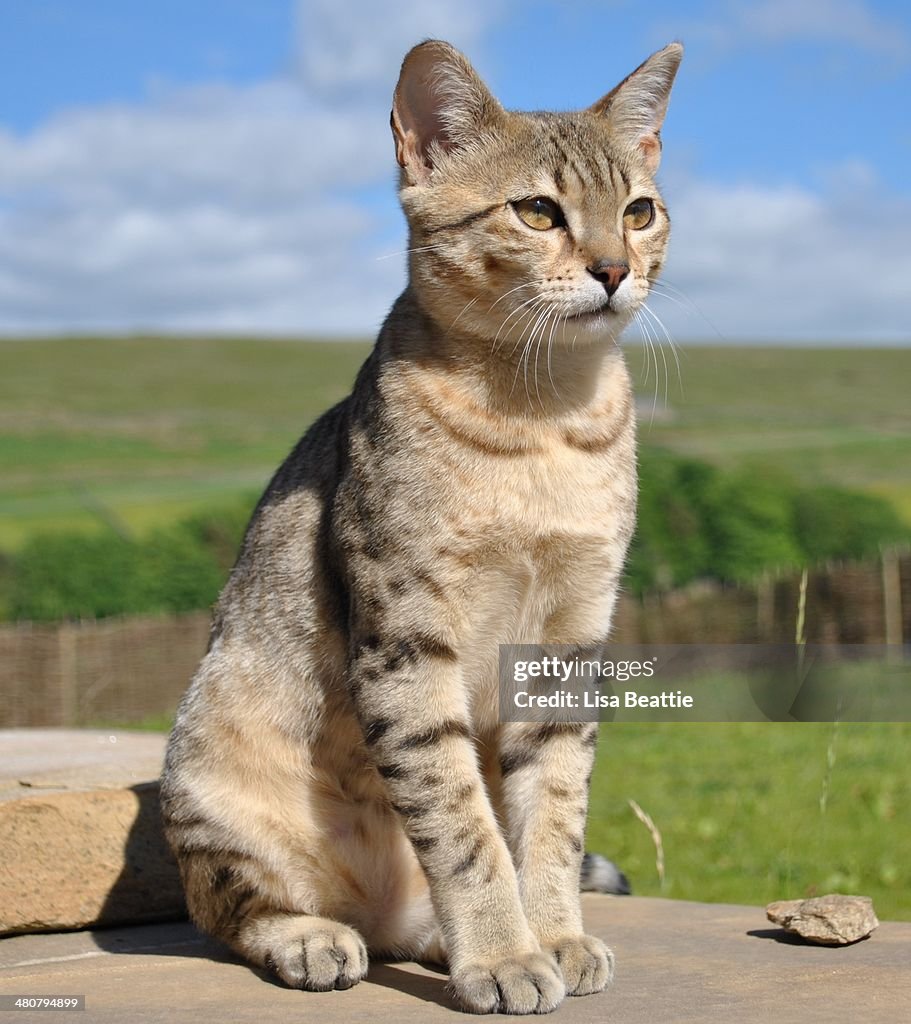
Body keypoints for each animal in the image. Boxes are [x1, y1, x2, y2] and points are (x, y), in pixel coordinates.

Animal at [159, 36, 679, 1011]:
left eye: (638, 211)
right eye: (537, 211)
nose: (614, 270)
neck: (542, 417)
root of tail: (379, 911)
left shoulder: (567, 640)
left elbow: (550, 817)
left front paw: (553, 936)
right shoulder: (405, 637)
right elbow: (461, 825)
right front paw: (506, 957)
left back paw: (446, 940)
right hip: (208, 773)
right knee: (237, 914)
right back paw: (320, 939)